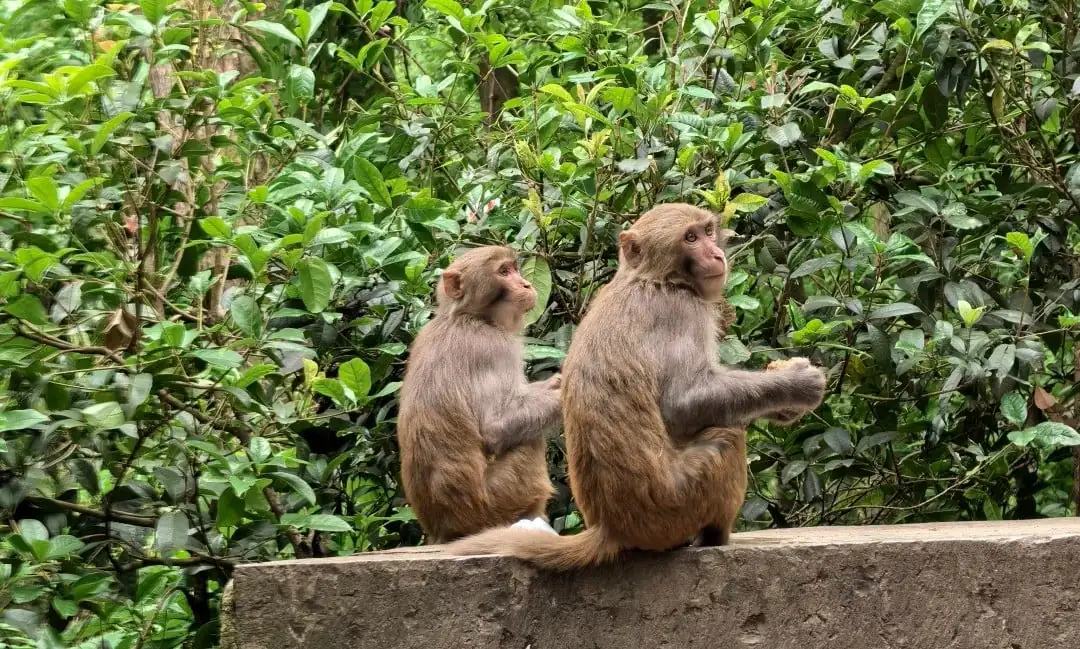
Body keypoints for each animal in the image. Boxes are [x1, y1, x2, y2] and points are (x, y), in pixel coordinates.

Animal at [396, 245, 562, 544]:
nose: (526, 284)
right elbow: (496, 426)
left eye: (515, 269)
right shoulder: (492, 347)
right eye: (504, 272)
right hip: (497, 500)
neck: (467, 316)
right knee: (530, 439)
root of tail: (446, 530)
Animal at [447, 203, 826, 569]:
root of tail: (611, 527)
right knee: (728, 435)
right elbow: (684, 402)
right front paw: (796, 384)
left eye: (707, 231)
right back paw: (715, 536)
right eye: (690, 238)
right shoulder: (682, 310)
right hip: (675, 507)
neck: (653, 279)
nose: (717, 254)